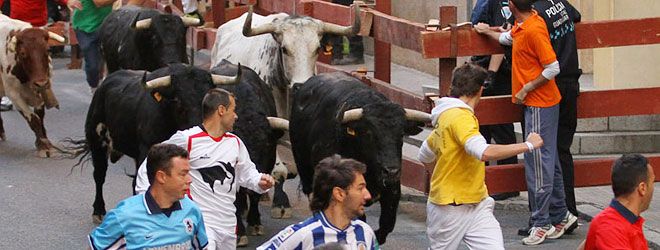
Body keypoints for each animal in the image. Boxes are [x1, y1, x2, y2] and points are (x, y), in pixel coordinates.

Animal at [0, 14, 65, 156]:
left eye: (47, 49)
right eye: (23, 53)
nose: (41, 82)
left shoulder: (40, 90)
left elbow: (40, 116)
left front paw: (43, 140)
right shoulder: (14, 95)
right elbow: (33, 119)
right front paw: (43, 145)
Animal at [68, 63, 238, 221]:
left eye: (206, 96)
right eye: (178, 100)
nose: (199, 125)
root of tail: (104, 84)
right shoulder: (147, 151)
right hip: (96, 141)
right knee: (99, 175)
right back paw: (98, 210)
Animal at [292, 72, 430, 244]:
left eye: (401, 134)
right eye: (369, 133)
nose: (391, 171)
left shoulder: (392, 190)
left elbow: (387, 223)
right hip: (305, 172)